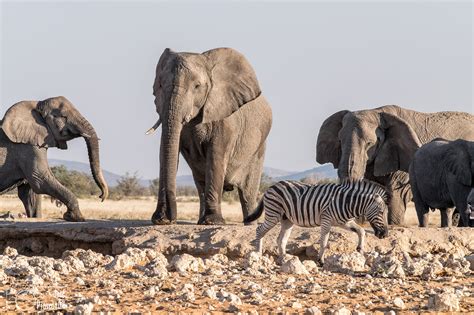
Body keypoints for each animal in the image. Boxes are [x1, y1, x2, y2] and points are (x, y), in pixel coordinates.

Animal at [244, 180, 388, 264]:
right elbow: (324, 242)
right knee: (259, 230)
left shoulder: (343, 222)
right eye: (381, 213)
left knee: (281, 240)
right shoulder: (326, 220)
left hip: (287, 220)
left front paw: (360, 249)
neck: (347, 202)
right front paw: (321, 261)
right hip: (273, 214)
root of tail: (271, 186)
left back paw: (284, 259)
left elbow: (361, 230)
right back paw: (258, 254)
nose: (385, 235)